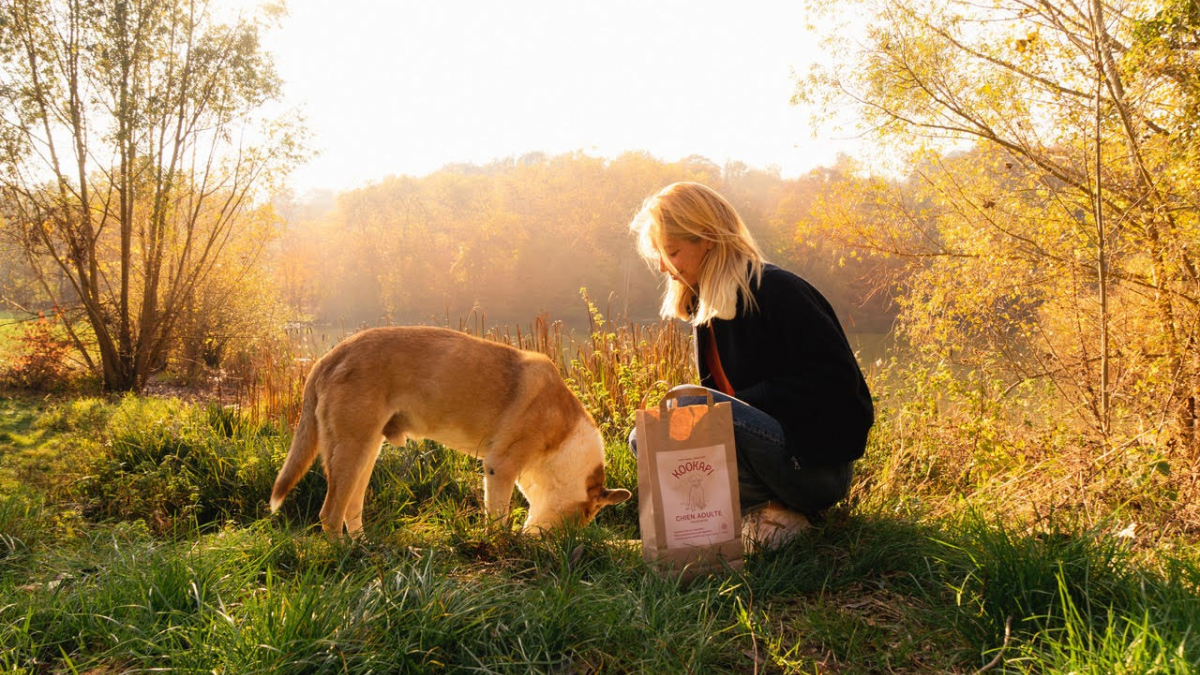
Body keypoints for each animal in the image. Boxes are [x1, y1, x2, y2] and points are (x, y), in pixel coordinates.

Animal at [268, 326, 633, 535]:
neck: (565, 439)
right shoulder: (499, 468)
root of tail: (329, 357)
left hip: (365, 453)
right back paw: (346, 560)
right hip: (351, 450)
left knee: (350, 509)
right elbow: (497, 522)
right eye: (582, 517)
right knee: (330, 514)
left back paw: (363, 551)